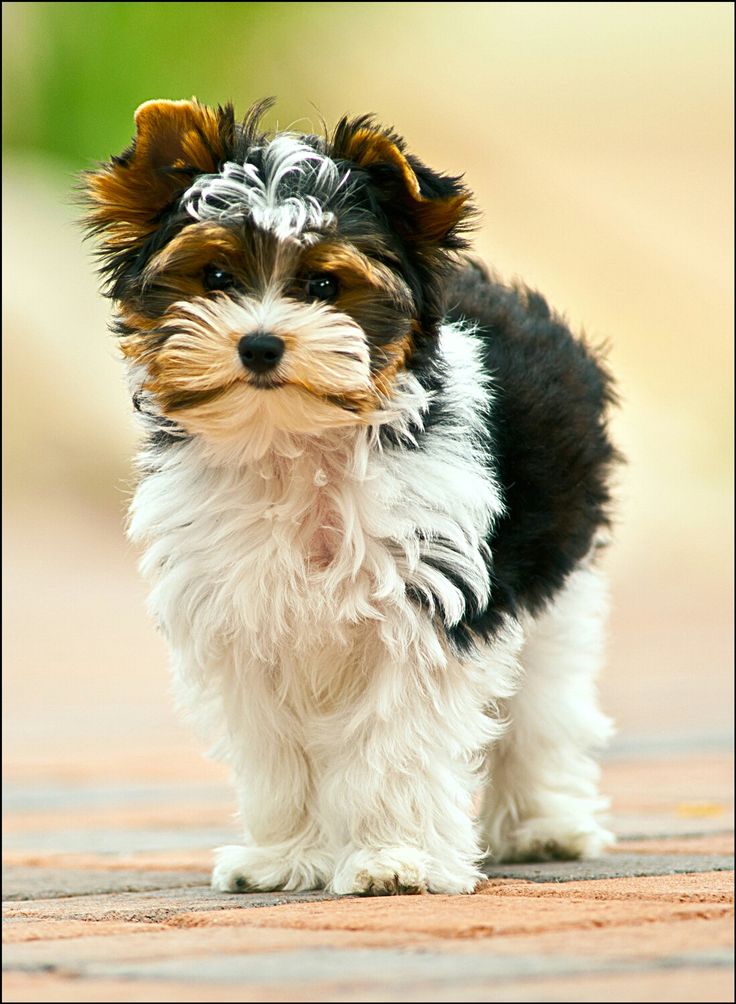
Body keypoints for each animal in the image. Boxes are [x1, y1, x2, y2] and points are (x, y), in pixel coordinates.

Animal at [80, 99, 618, 895]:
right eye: (215, 275)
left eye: (324, 287)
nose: (260, 345)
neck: (294, 440)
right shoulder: (242, 616)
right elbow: (279, 749)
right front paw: (287, 858)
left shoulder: (424, 603)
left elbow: (394, 739)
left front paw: (397, 859)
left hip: (557, 570)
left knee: (544, 701)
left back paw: (542, 826)